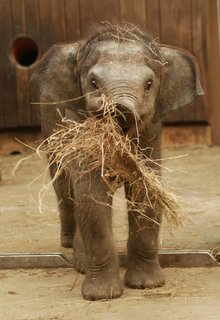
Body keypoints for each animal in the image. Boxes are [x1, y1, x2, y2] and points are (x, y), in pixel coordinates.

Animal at [31, 25, 204, 300]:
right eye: (93, 83)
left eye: (149, 84)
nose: (119, 109)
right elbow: (92, 194)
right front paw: (102, 296)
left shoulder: (151, 128)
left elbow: (146, 190)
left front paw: (147, 285)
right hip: (48, 126)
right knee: (64, 186)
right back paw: (71, 249)